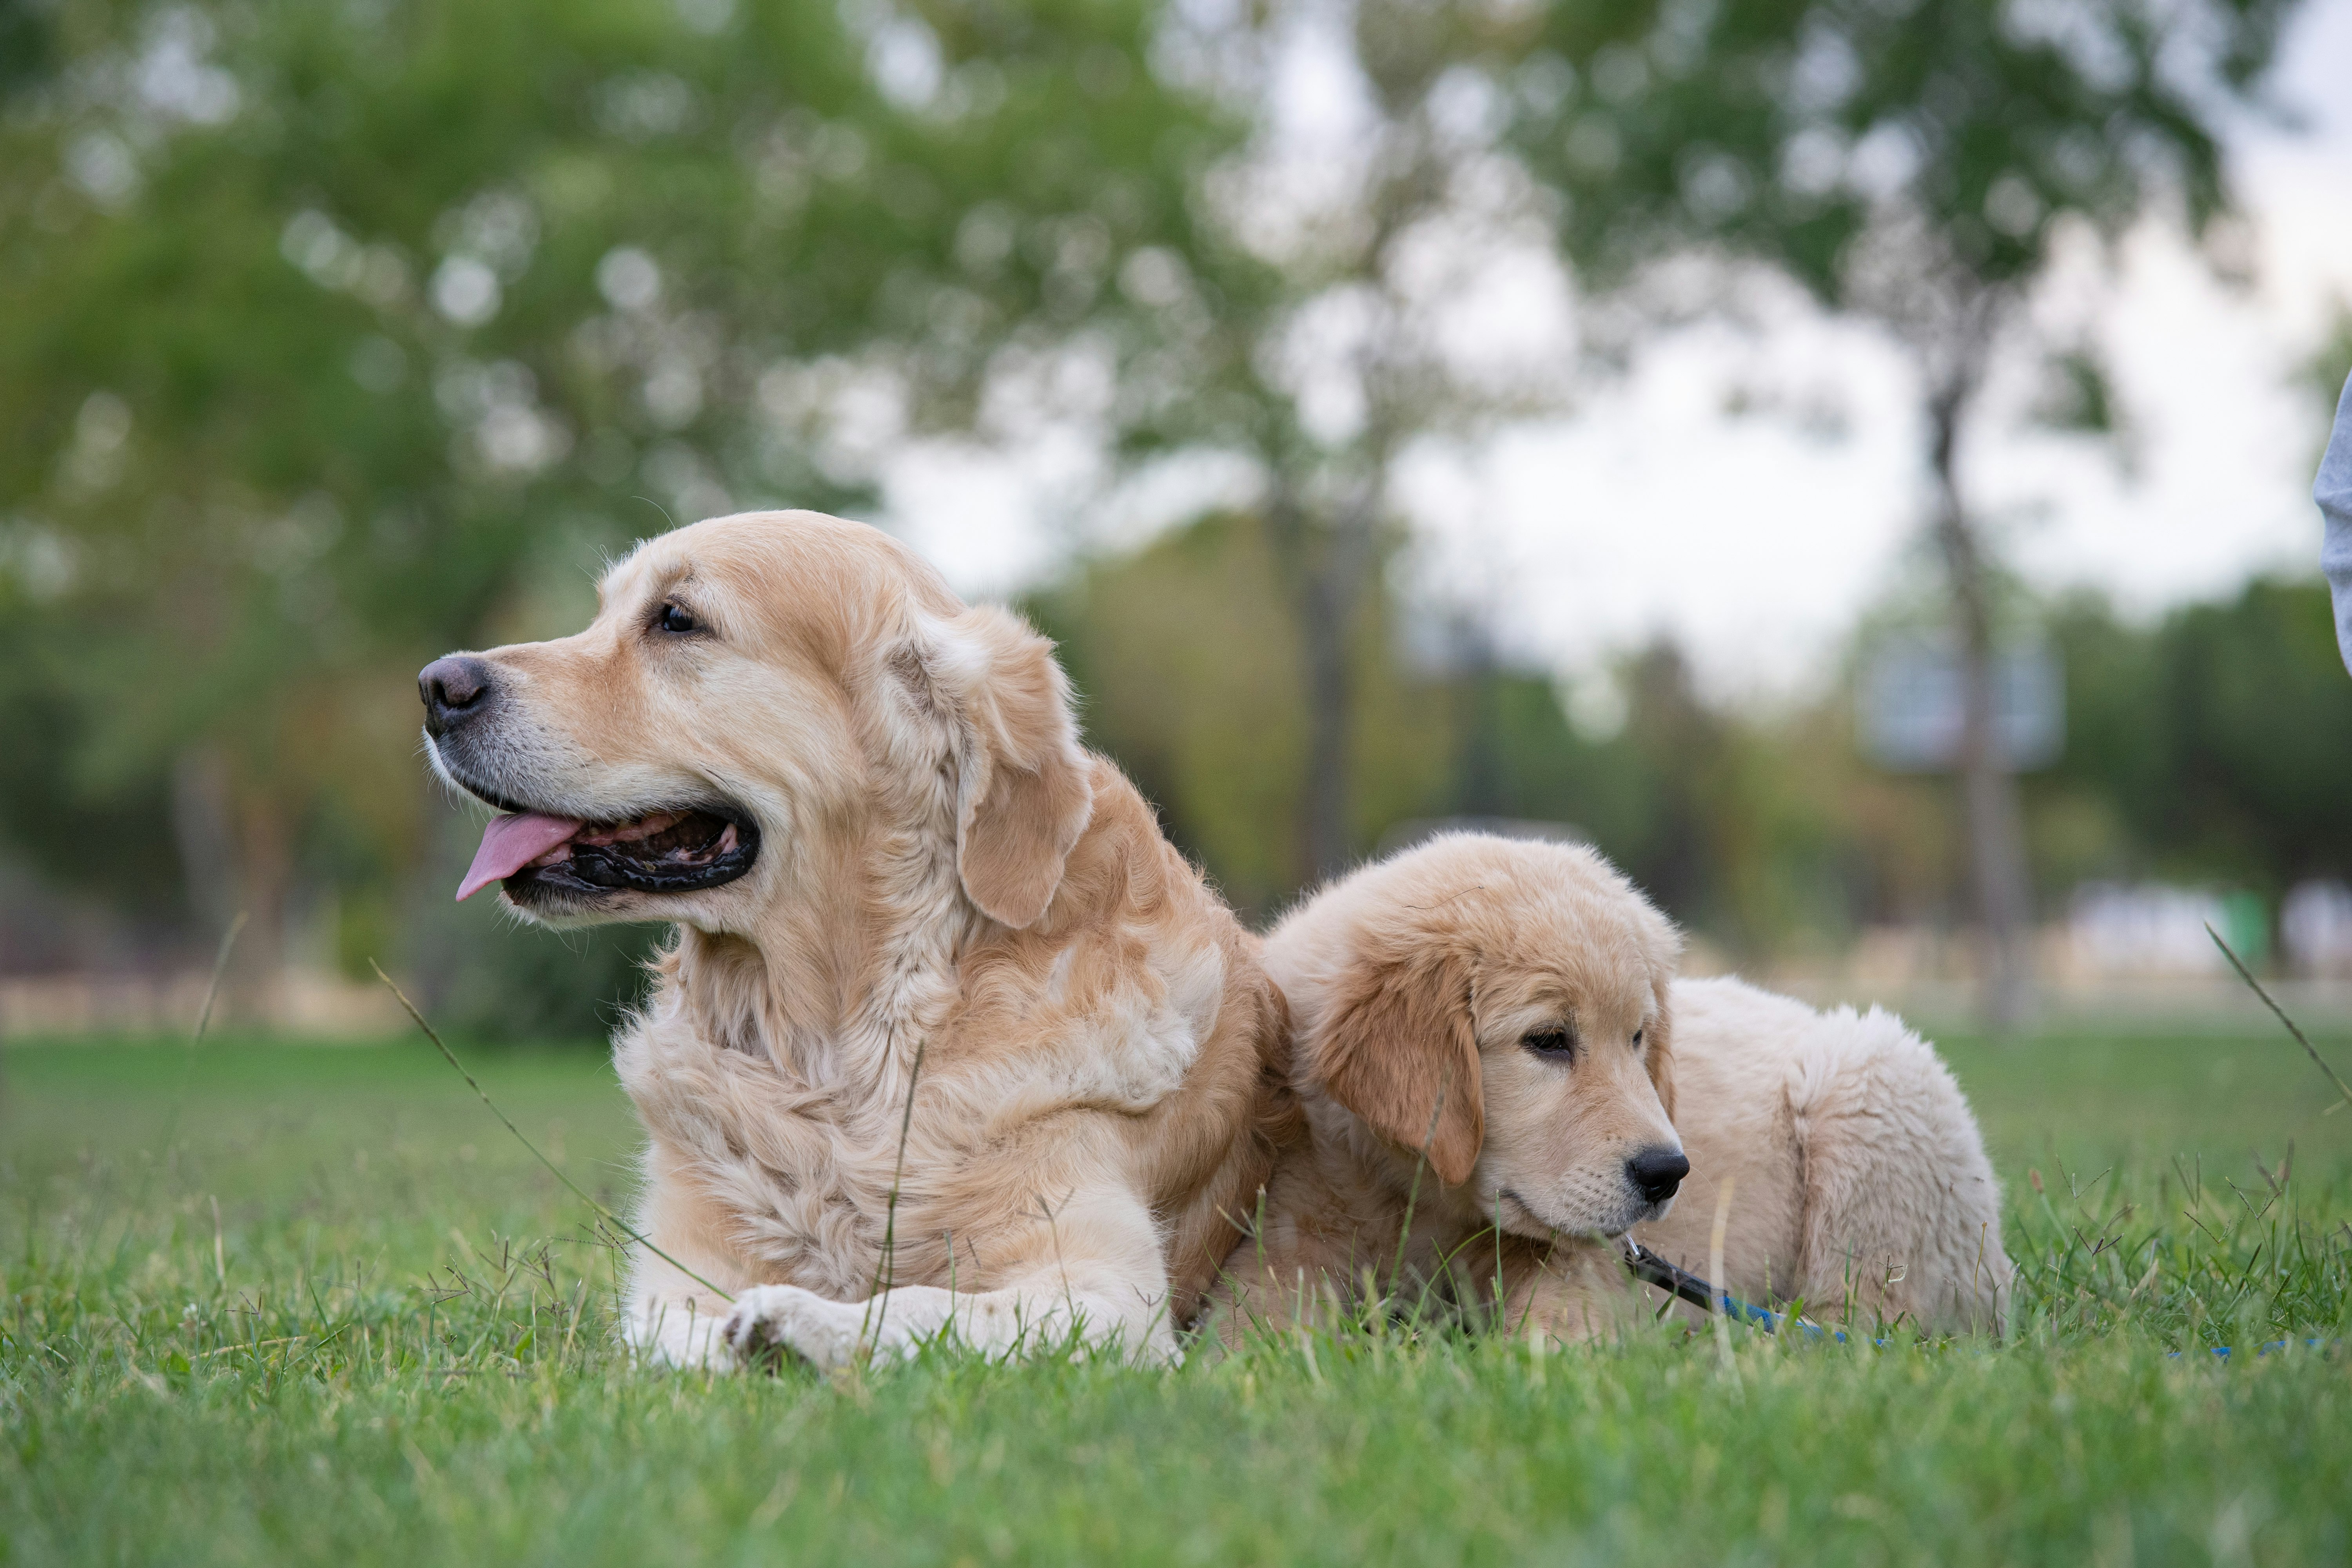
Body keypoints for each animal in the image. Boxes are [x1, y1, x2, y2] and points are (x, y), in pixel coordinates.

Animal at [428, 517, 1308, 1373]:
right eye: (602, 612)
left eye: (677, 619)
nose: (438, 686)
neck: (836, 1057)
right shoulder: (674, 1275)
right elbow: (676, 1338)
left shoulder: (1105, 1293)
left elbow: (918, 1305)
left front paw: (800, 1320)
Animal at [1204, 832, 1684, 1335]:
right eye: (1549, 1040)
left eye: (1637, 1037)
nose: (1667, 1173)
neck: (1421, 1204)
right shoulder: (1291, 1221)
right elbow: (1256, 1313)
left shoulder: (1585, 1257)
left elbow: (1567, 1311)